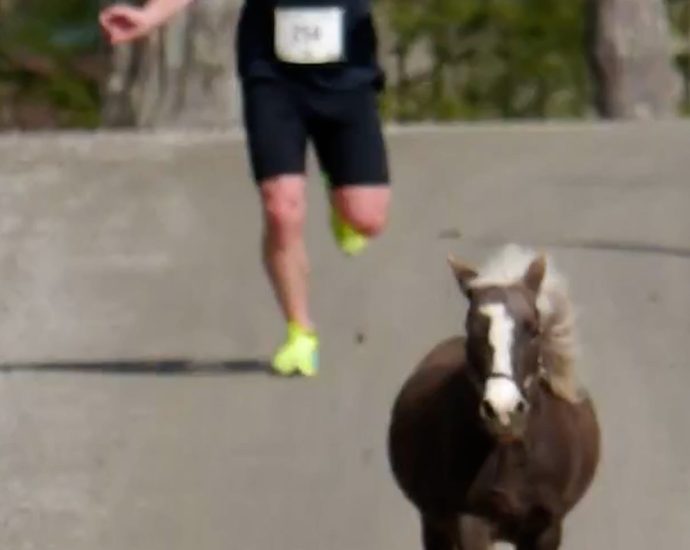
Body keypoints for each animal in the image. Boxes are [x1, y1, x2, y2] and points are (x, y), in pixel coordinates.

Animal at [387, 245, 601, 550]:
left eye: (533, 328)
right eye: (472, 328)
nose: (503, 411)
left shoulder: (546, 526)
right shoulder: (469, 521)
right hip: (434, 524)